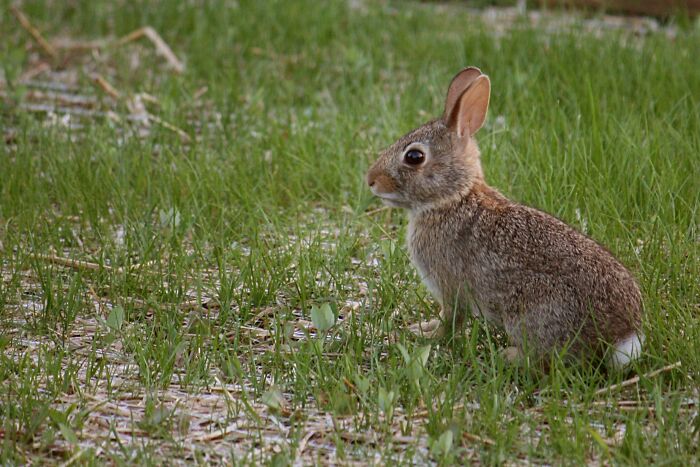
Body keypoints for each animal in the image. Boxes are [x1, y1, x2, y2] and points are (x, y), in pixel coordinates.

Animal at [366, 66, 644, 370]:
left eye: (414, 156)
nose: (370, 180)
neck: (453, 198)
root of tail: (621, 336)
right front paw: (421, 328)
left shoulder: (450, 287)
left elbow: (450, 320)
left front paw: (425, 334)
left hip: (534, 310)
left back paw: (509, 356)